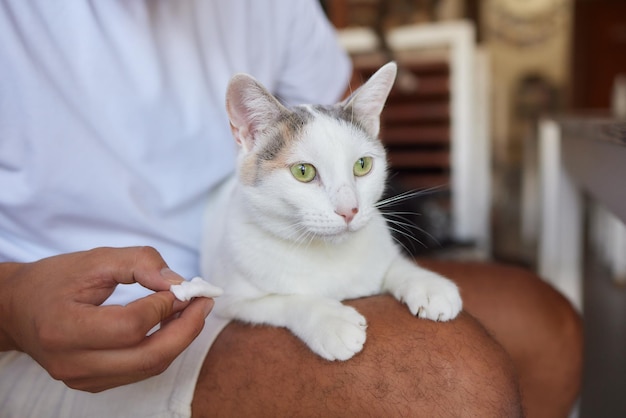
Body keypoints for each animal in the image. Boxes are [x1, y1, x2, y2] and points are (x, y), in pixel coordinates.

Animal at [202, 62, 460, 362]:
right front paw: (329, 319)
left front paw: (428, 284)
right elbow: (284, 300)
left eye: (362, 165)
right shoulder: (230, 302)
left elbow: (395, 266)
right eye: (303, 171)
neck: (328, 254)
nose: (349, 210)